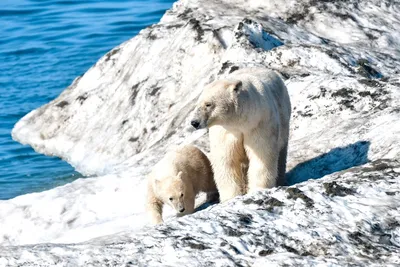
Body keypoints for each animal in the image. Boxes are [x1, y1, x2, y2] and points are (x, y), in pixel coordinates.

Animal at [191, 67, 290, 203]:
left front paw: (258, 189)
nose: (194, 122)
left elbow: (262, 156)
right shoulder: (226, 132)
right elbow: (227, 160)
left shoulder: (259, 124)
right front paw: (230, 197)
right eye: (197, 105)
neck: (240, 122)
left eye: (208, 104)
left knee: (281, 154)